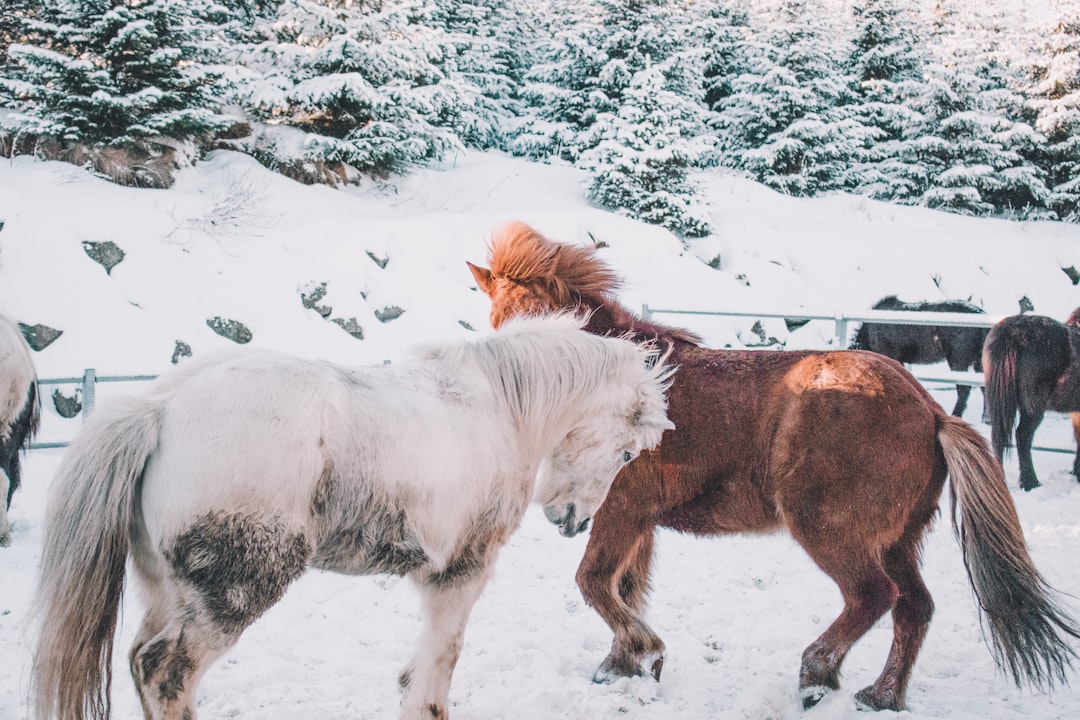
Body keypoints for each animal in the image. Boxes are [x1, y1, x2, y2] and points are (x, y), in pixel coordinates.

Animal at [31, 317, 673, 720]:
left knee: (141, 659)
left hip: (169, 590)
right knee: (166, 673)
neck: (500, 407)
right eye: (627, 454)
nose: (574, 521)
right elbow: (442, 659)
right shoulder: (464, 570)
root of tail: (159, 410)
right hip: (233, 592)